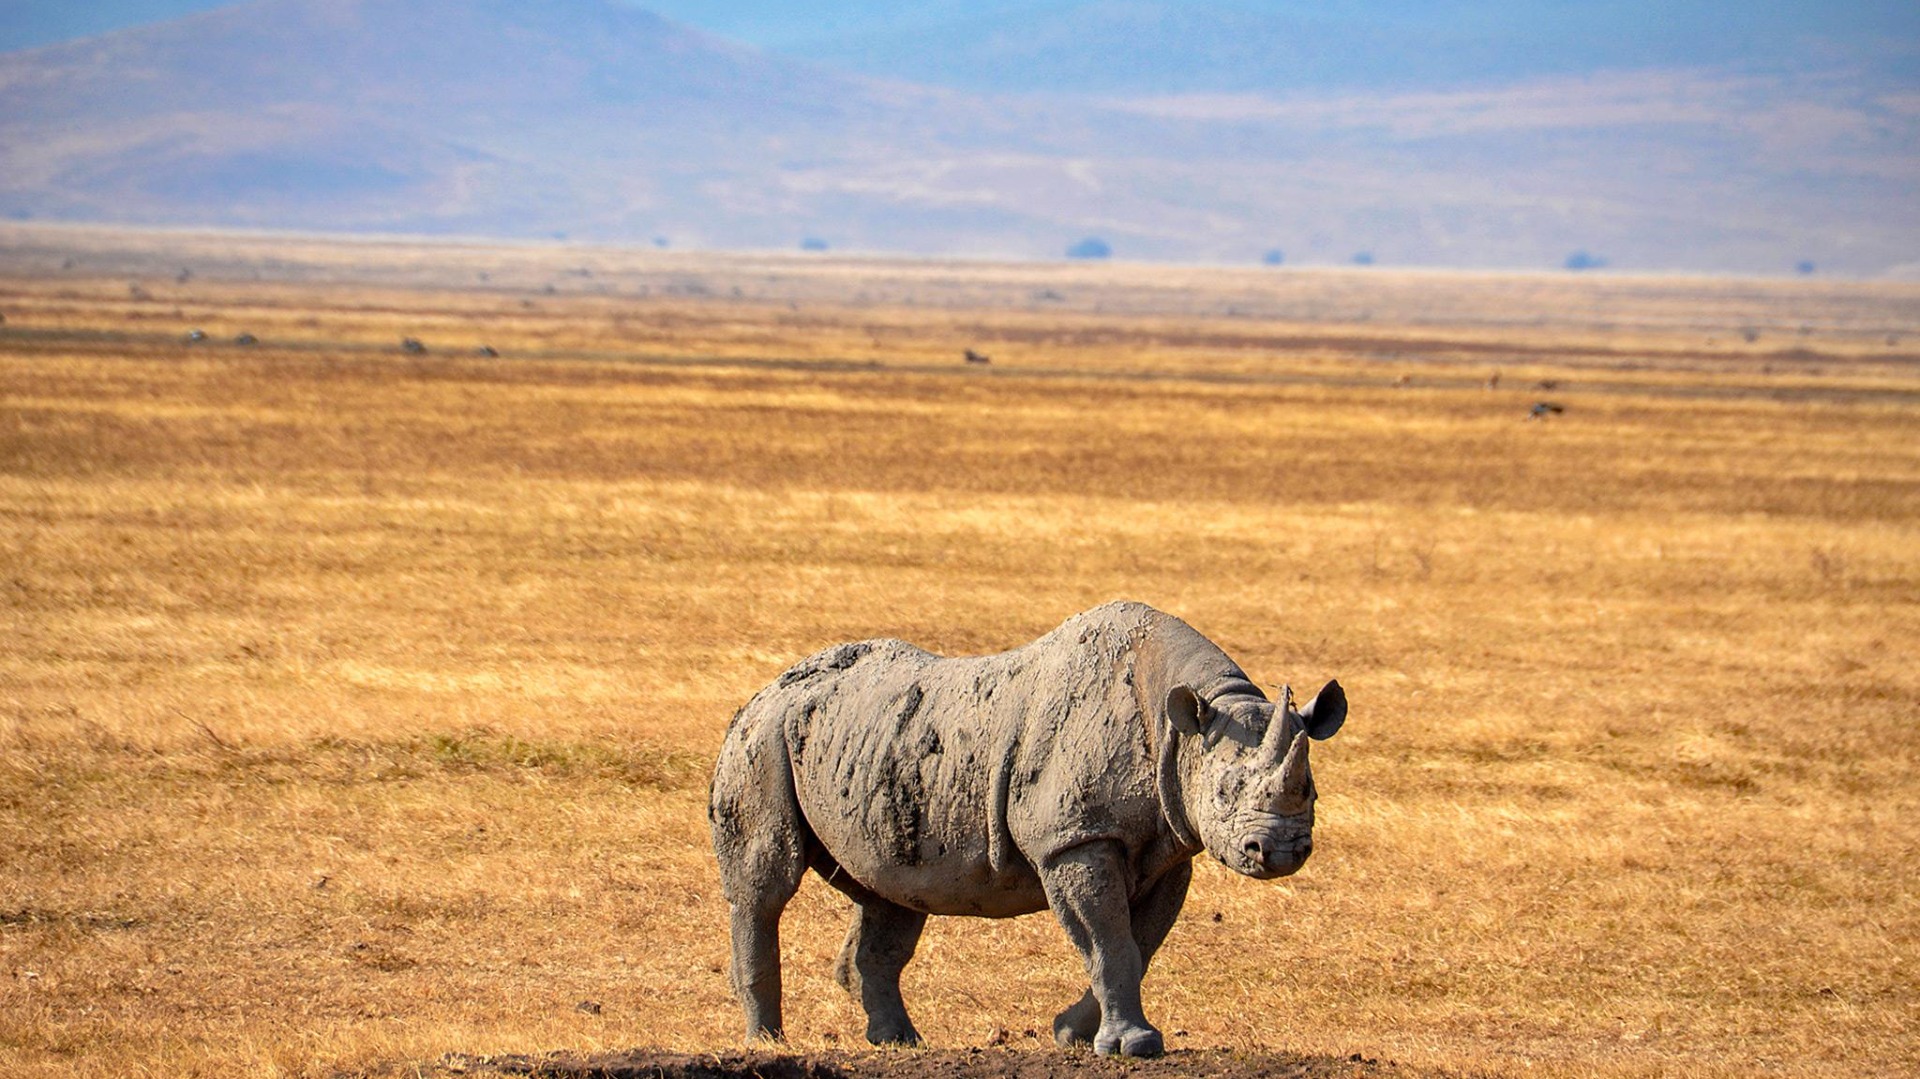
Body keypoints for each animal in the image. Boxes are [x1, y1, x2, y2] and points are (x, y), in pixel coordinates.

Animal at [708, 600, 1346, 1057]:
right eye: (1224, 791)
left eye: (1312, 791)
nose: (1280, 851)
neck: (1183, 723)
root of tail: (764, 689)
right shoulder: (1074, 838)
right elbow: (1109, 941)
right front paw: (1133, 1047)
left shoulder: (1169, 846)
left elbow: (1139, 944)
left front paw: (1072, 1035)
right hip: (762, 737)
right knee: (765, 887)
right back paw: (767, 1043)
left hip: (874, 748)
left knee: (892, 894)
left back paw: (901, 1043)